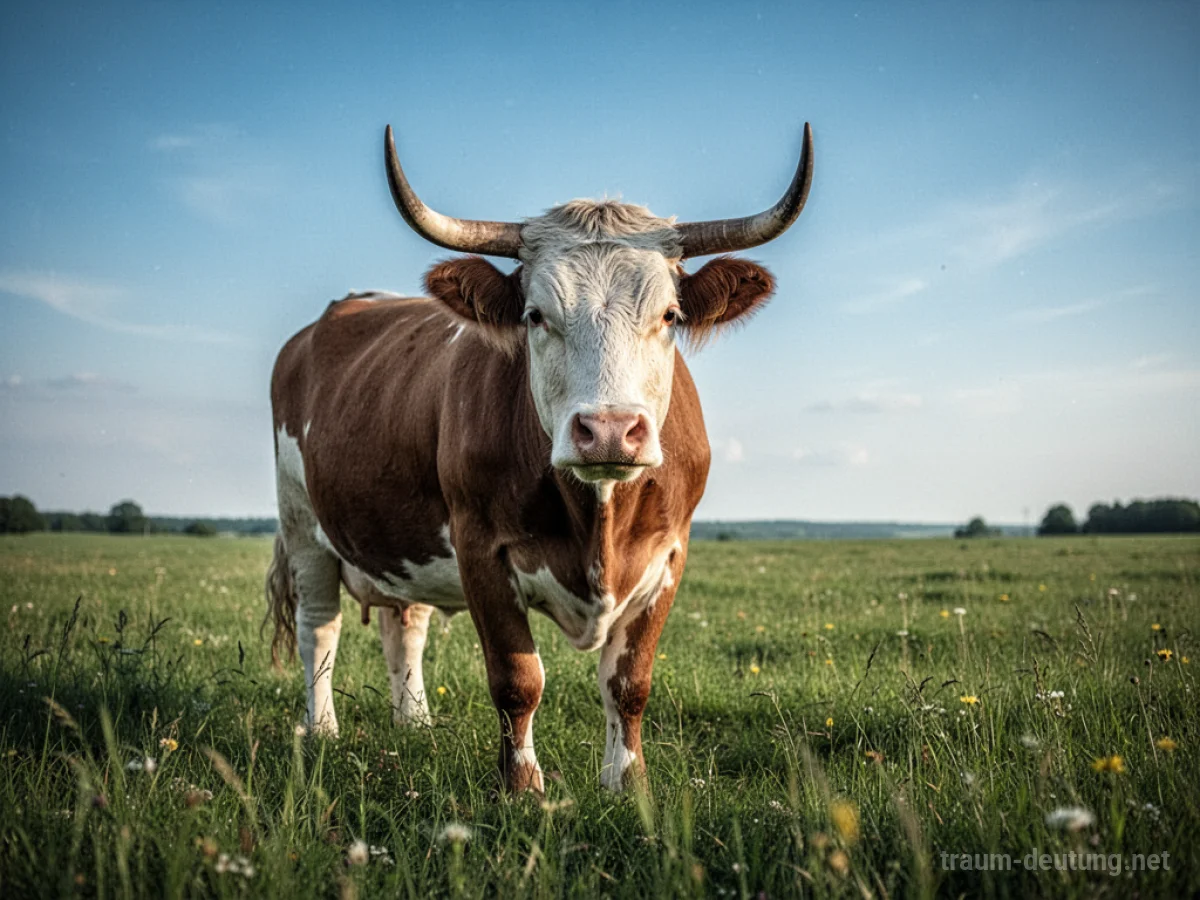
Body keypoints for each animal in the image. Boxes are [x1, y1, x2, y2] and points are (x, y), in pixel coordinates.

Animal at [265, 123, 813, 793]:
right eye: (535, 315)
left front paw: (628, 784)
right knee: (319, 627)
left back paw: (414, 723)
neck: (599, 518)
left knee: (405, 626)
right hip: (302, 524)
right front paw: (523, 787)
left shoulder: (670, 554)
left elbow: (628, 684)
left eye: (670, 315)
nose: (609, 431)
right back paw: (322, 732)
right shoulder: (480, 548)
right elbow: (517, 680)